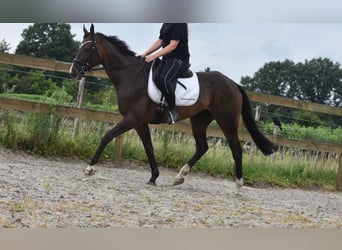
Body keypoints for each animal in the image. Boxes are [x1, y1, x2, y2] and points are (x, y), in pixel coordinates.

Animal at [70, 23, 278, 191]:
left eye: (88, 49)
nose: (73, 72)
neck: (130, 76)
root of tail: (233, 84)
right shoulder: (139, 122)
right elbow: (149, 147)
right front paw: (153, 177)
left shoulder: (132, 118)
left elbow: (107, 136)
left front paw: (89, 168)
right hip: (200, 119)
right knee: (202, 147)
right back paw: (179, 177)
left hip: (226, 121)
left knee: (236, 149)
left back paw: (239, 184)